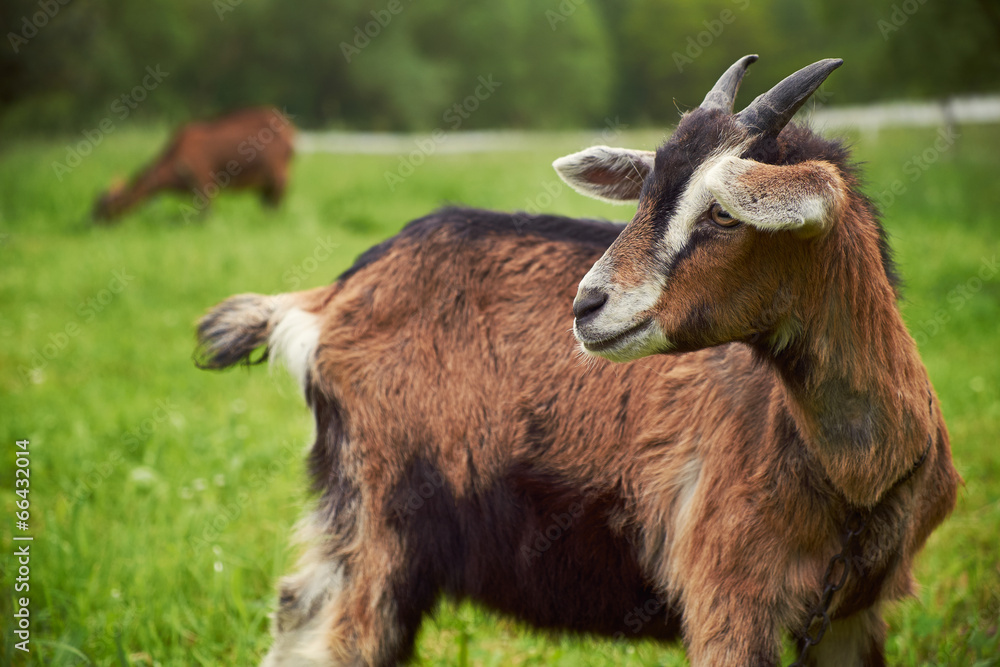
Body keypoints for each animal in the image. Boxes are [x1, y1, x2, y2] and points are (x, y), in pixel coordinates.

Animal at [94, 106, 294, 222]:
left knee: (276, 202)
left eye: (104, 208)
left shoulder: (204, 182)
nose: (90, 223)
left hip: (279, 175)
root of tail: (289, 131)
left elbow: (207, 215)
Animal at [195, 56, 959, 666]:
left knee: (297, 612)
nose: (587, 304)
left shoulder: (856, 616)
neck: (857, 474)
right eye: (645, 194)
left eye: (723, 213)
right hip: (381, 515)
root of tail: (329, 298)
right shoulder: (726, 597)